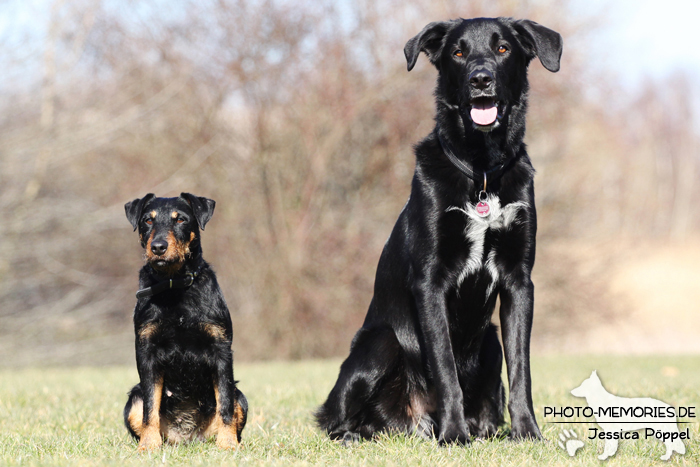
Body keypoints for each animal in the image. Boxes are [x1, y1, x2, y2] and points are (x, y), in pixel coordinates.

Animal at [123, 193, 249, 450]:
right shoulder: (146, 351)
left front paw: (228, 444)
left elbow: (226, 405)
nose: (158, 247)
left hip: (241, 396)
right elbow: (150, 406)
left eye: (180, 219)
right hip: (132, 399)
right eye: (147, 220)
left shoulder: (221, 349)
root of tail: (186, 437)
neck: (175, 287)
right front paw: (148, 446)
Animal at [318, 18, 564, 446]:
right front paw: (453, 434)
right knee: (334, 418)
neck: (481, 171)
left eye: (503, 49)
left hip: (489, 340)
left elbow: (522, 368)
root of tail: (412, 424)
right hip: (379, 343)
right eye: (458, 52)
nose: (480, 80)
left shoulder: (519, 281)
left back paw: (480, 429)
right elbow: (445, 366)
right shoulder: (430, 282)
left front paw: (527, 432)